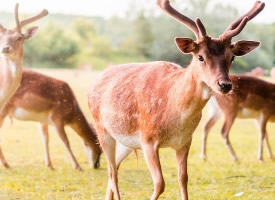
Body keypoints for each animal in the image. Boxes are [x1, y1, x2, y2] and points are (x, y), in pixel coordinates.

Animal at [88, 0, 266, 199]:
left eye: (232, 57)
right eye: (200, 56)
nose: (225, 85)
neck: (175, 116)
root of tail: (96, 80)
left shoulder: (185, 141)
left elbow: (183, 179)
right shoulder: (148, 139)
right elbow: (160, 183)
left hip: (125, 142)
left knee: (113, 169)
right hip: (102, 129)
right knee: (112, 172)